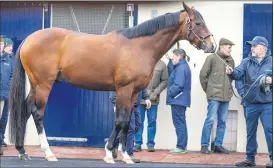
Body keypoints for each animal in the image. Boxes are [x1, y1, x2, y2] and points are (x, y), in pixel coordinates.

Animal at [8, 1, 216, 163]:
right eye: (198, 23)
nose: (212, 45)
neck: (139, 47)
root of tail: (29, 39)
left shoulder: (133, 93)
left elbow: (127, 122)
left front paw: (125, 156)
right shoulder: (123, 89)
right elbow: (119, 121)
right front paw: (109, 153)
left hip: (36, 84)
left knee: (25, 109)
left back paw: (22, 151)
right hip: (44, 84)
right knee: (37, 113)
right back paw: (48, 152)